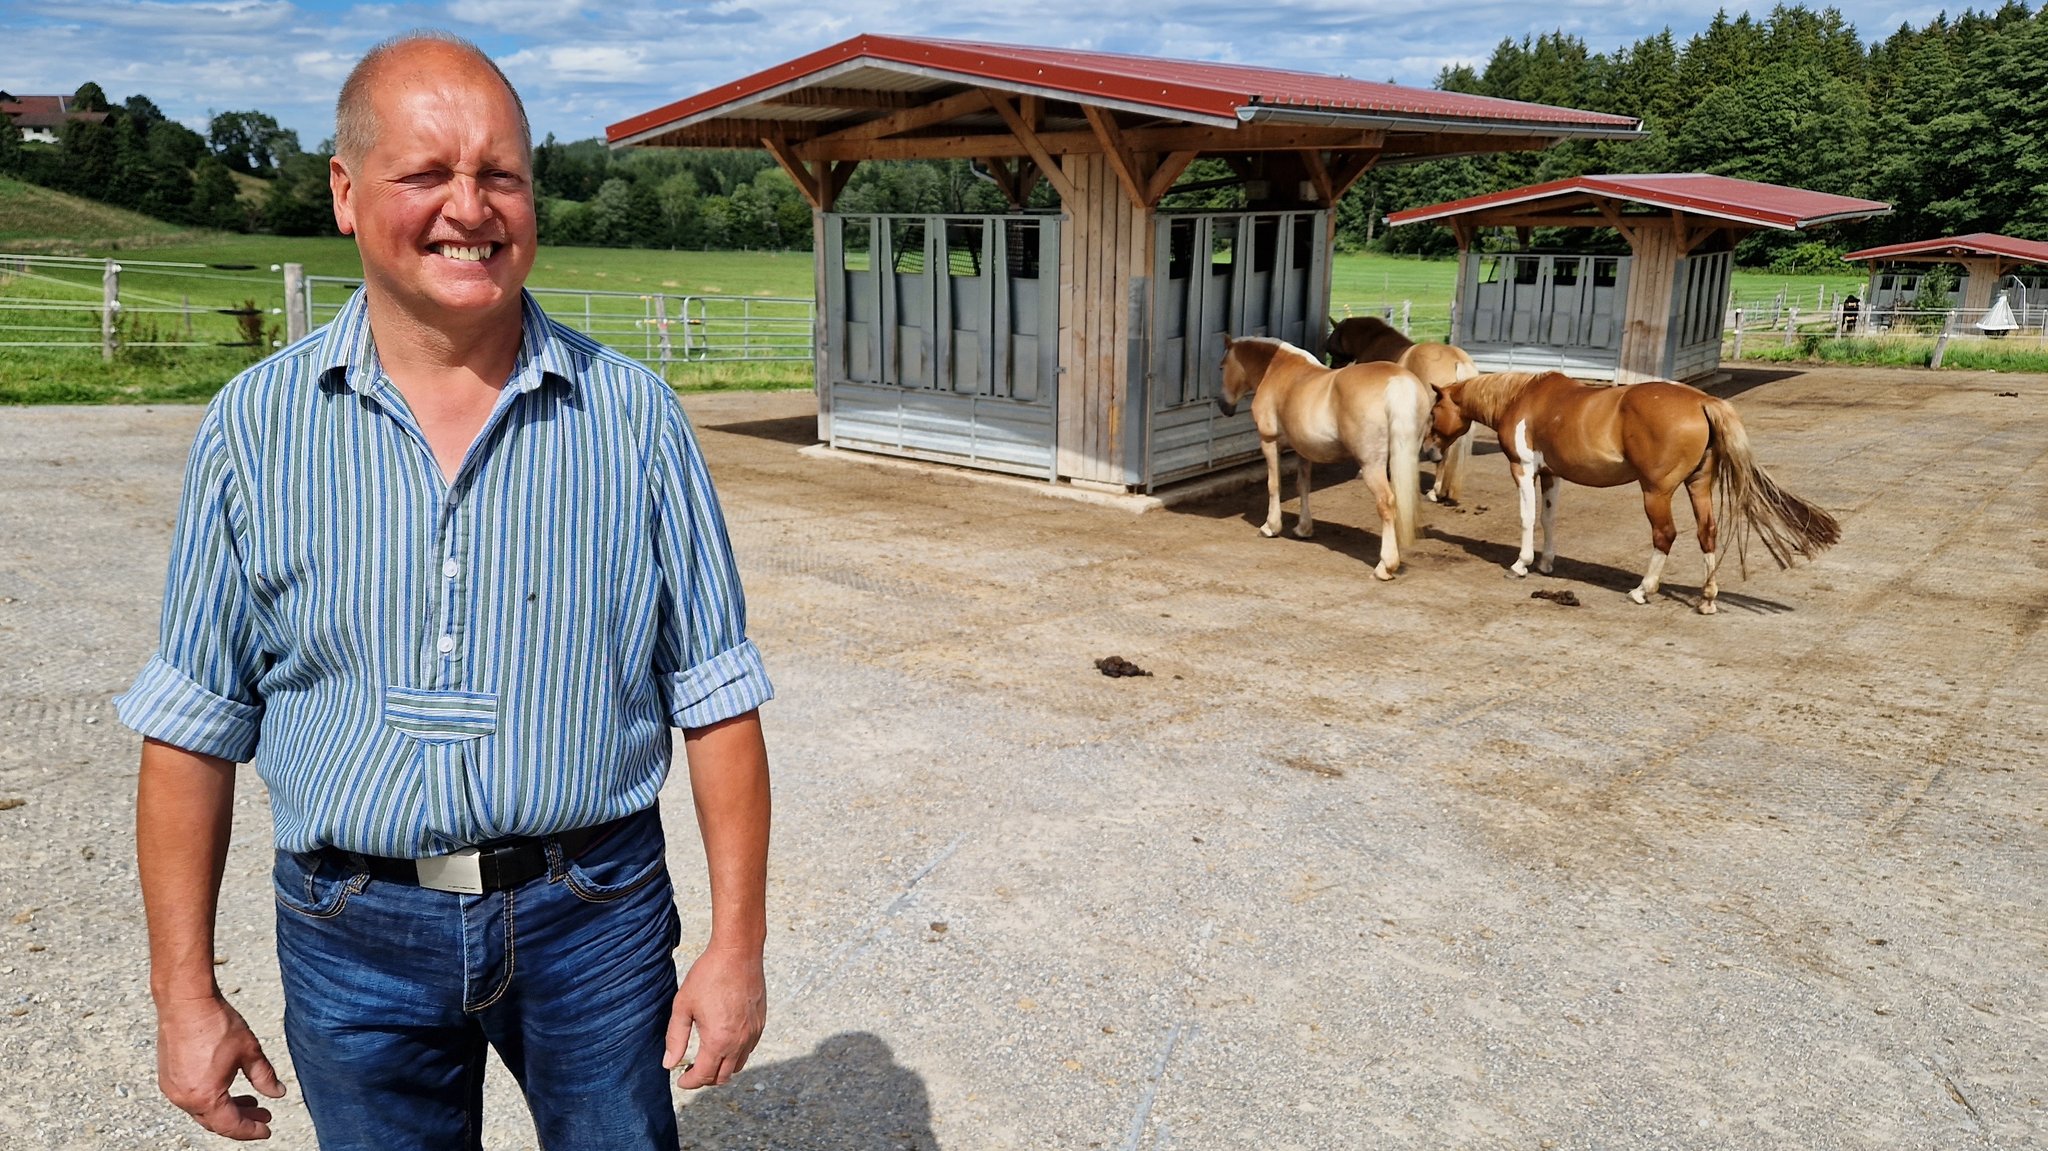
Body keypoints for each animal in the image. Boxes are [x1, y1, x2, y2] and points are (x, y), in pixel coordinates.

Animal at [1212, 335, 1425, 577]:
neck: (1277, 369)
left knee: (1386, 503)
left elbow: (1273, 485)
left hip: (1372, 465)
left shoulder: (1269, 441)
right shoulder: (1303, 449)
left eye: (1222, 366)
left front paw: (1270, 527)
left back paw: (1385, 566)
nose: (1223, 405)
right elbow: (1303, 485)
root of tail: (1397, 382)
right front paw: (1303, 528)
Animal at [1433, 374, 1851, 610]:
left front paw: (1521, 564)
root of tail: (1704, 401)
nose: (1433, 451)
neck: (1524, 397)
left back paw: (1643, 590)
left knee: (1665, 535)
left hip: (1656, 492)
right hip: (1698, 487)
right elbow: (1548, 519)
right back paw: (1707, 599)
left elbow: (1527, 517)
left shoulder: (1523, 468)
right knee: (1707, 534)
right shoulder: (1551, 474)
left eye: (1435, 410)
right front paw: (1546, 563)